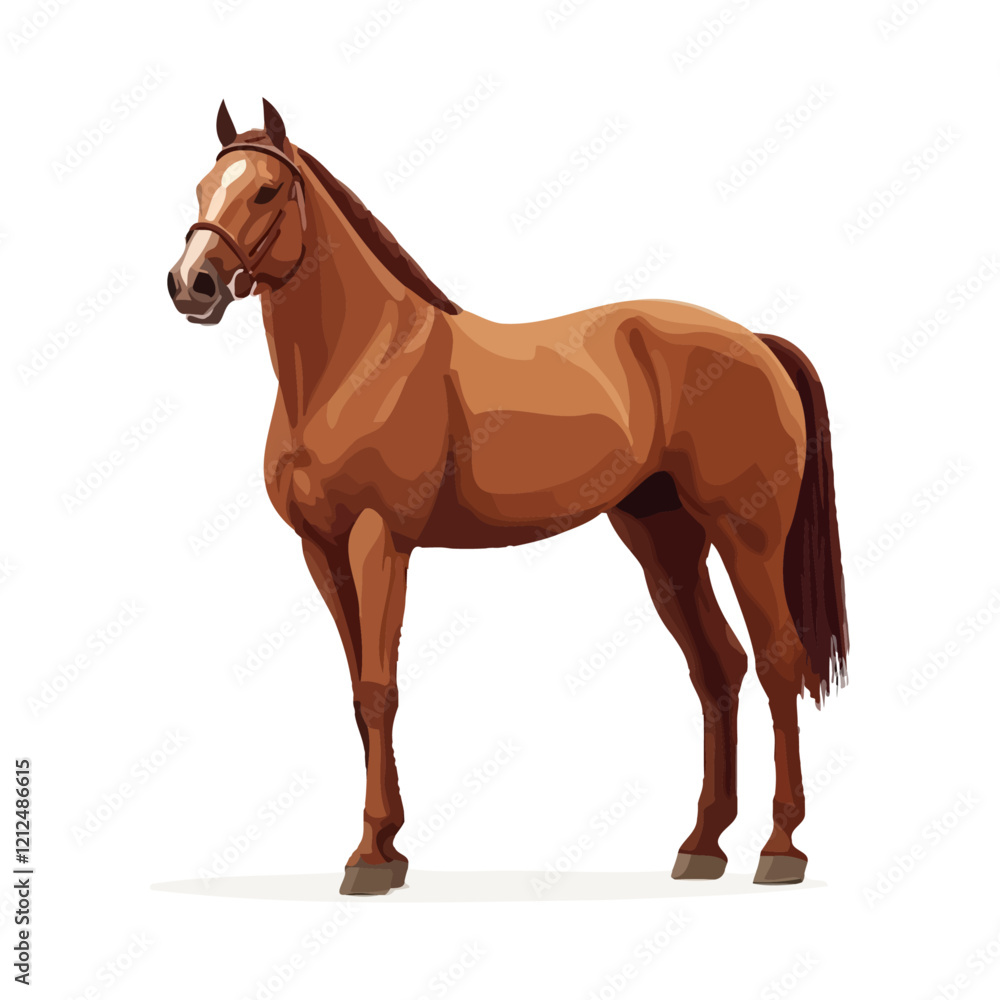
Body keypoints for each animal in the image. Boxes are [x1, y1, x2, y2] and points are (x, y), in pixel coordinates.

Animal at [168, 99, 849, 895]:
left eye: (268, 192)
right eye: (201, 189)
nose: (192, 284)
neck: (359, 362)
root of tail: (756, 342)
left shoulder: (380, 539)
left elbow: (379, 688)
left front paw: (370, 858)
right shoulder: (322, 550)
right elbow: (358, 695)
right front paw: (389, 847)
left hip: (747, 535)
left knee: (778, 663)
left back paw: (781, 848)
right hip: (664, 537)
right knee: (719, 668)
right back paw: (703, 845)